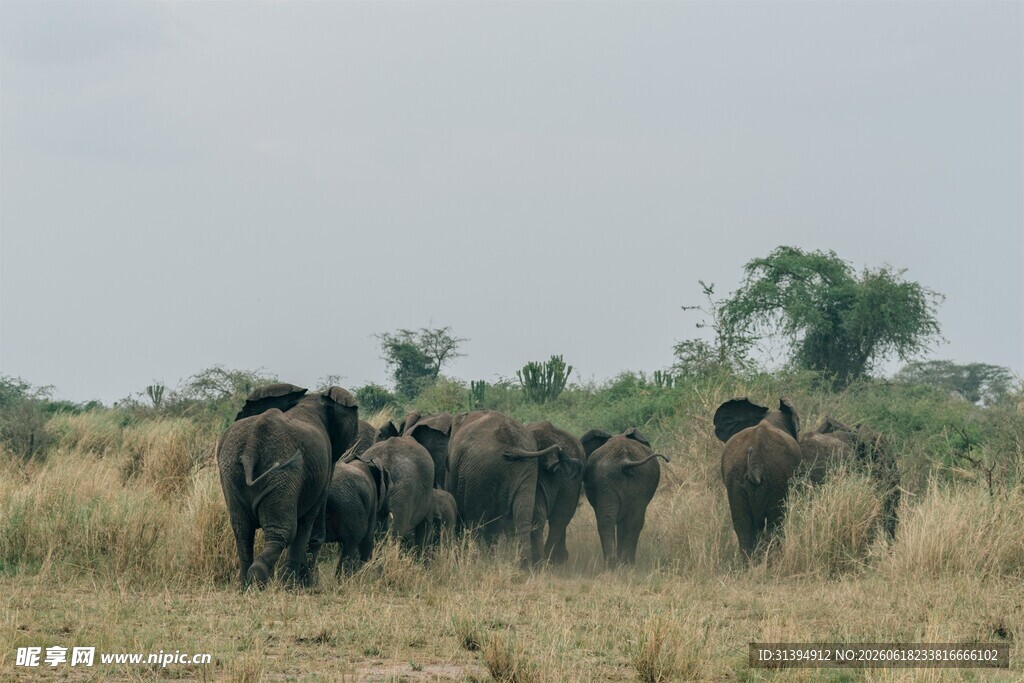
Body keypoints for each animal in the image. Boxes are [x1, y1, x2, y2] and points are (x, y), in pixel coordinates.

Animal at [217, 383, 359, 588]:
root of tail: (252, 444)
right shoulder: (324, 467)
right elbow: (308, 521)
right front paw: (292, 586)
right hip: (283, 475)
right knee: (284, 531)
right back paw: (261, 578)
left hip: (231, 471)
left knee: (242, 529)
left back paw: (245, 584)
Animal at [580, 428, 669, 567]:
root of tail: (625, 460)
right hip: (631, 479)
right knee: (629, 521)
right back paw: (622, 564)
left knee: (613, 520)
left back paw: (618, 564)